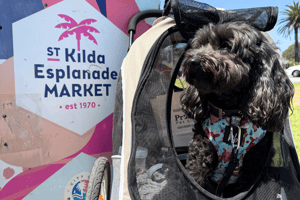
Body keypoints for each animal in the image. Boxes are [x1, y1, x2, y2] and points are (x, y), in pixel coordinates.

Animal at [179, 21, 294, 197]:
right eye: (200, 45)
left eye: (226, 46)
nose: (193, 60)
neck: (231, 116)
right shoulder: (198, 160)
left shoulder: (252, 170)